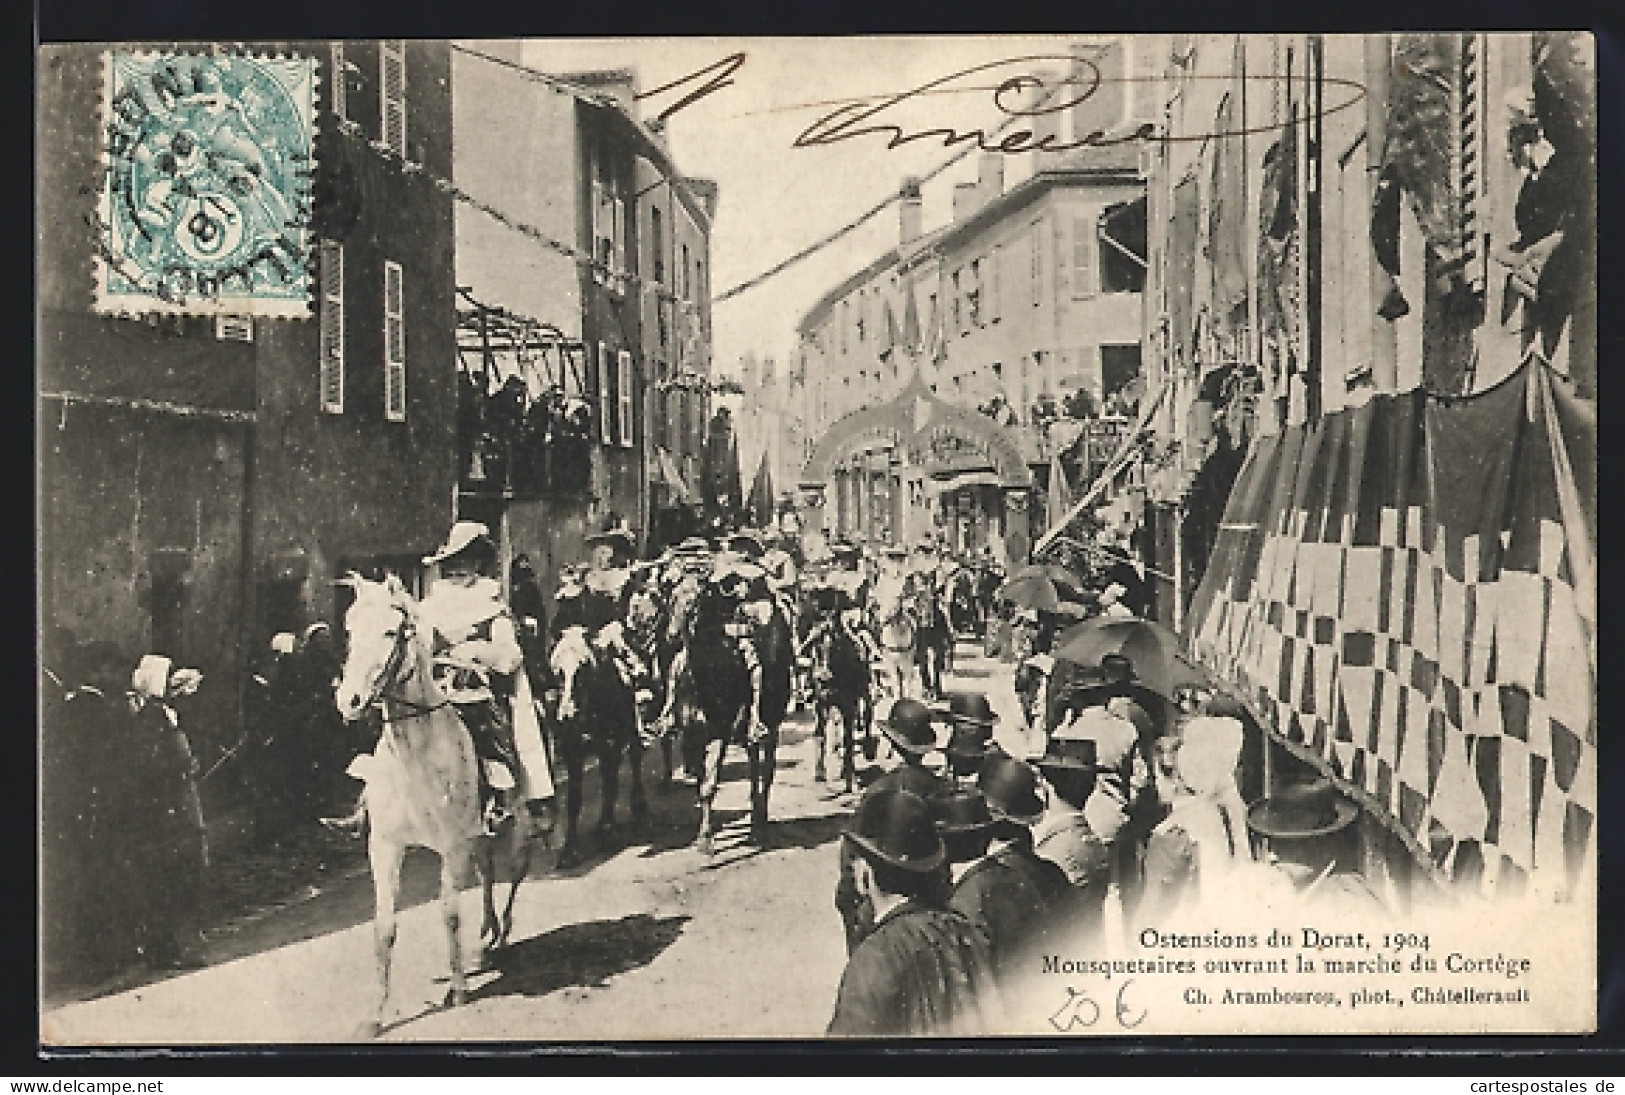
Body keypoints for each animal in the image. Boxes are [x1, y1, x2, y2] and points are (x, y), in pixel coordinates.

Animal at [333, 575, 536, 1033]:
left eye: (391, 631)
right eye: (350, 630)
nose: (349, 700)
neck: (416, 758)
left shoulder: (452, 846)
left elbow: (449, 914)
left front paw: (458, 990)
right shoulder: (385, 847)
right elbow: (384, 928)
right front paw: (375, 1015)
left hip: (518, 820)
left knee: (514, 872)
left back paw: (500, 936)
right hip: (477, 835)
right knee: (487, 871)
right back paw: (484, 939)